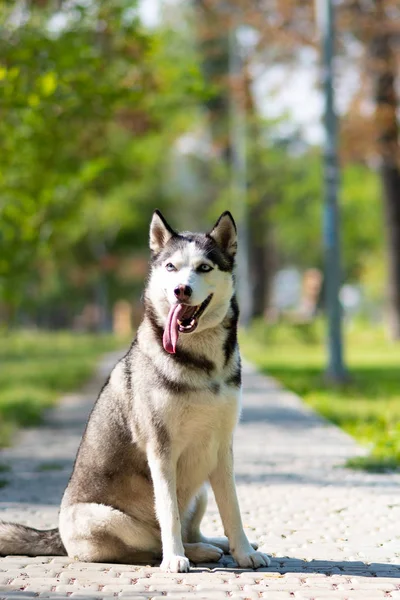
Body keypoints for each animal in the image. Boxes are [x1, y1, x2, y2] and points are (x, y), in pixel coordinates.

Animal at [0, 211, 270, 572]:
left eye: (204, 267)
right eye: (171, 267)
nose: (181, 290)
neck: (200, 362)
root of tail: (58, 536)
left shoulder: (221, 447)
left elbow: (233, 508)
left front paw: (244, 551)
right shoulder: (161, 449)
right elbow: (168, 514)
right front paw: (175, 559)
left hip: (199, 492)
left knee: (192, 528)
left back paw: (214, 543)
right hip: (109, 519)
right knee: (153, 543)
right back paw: (190, 552)